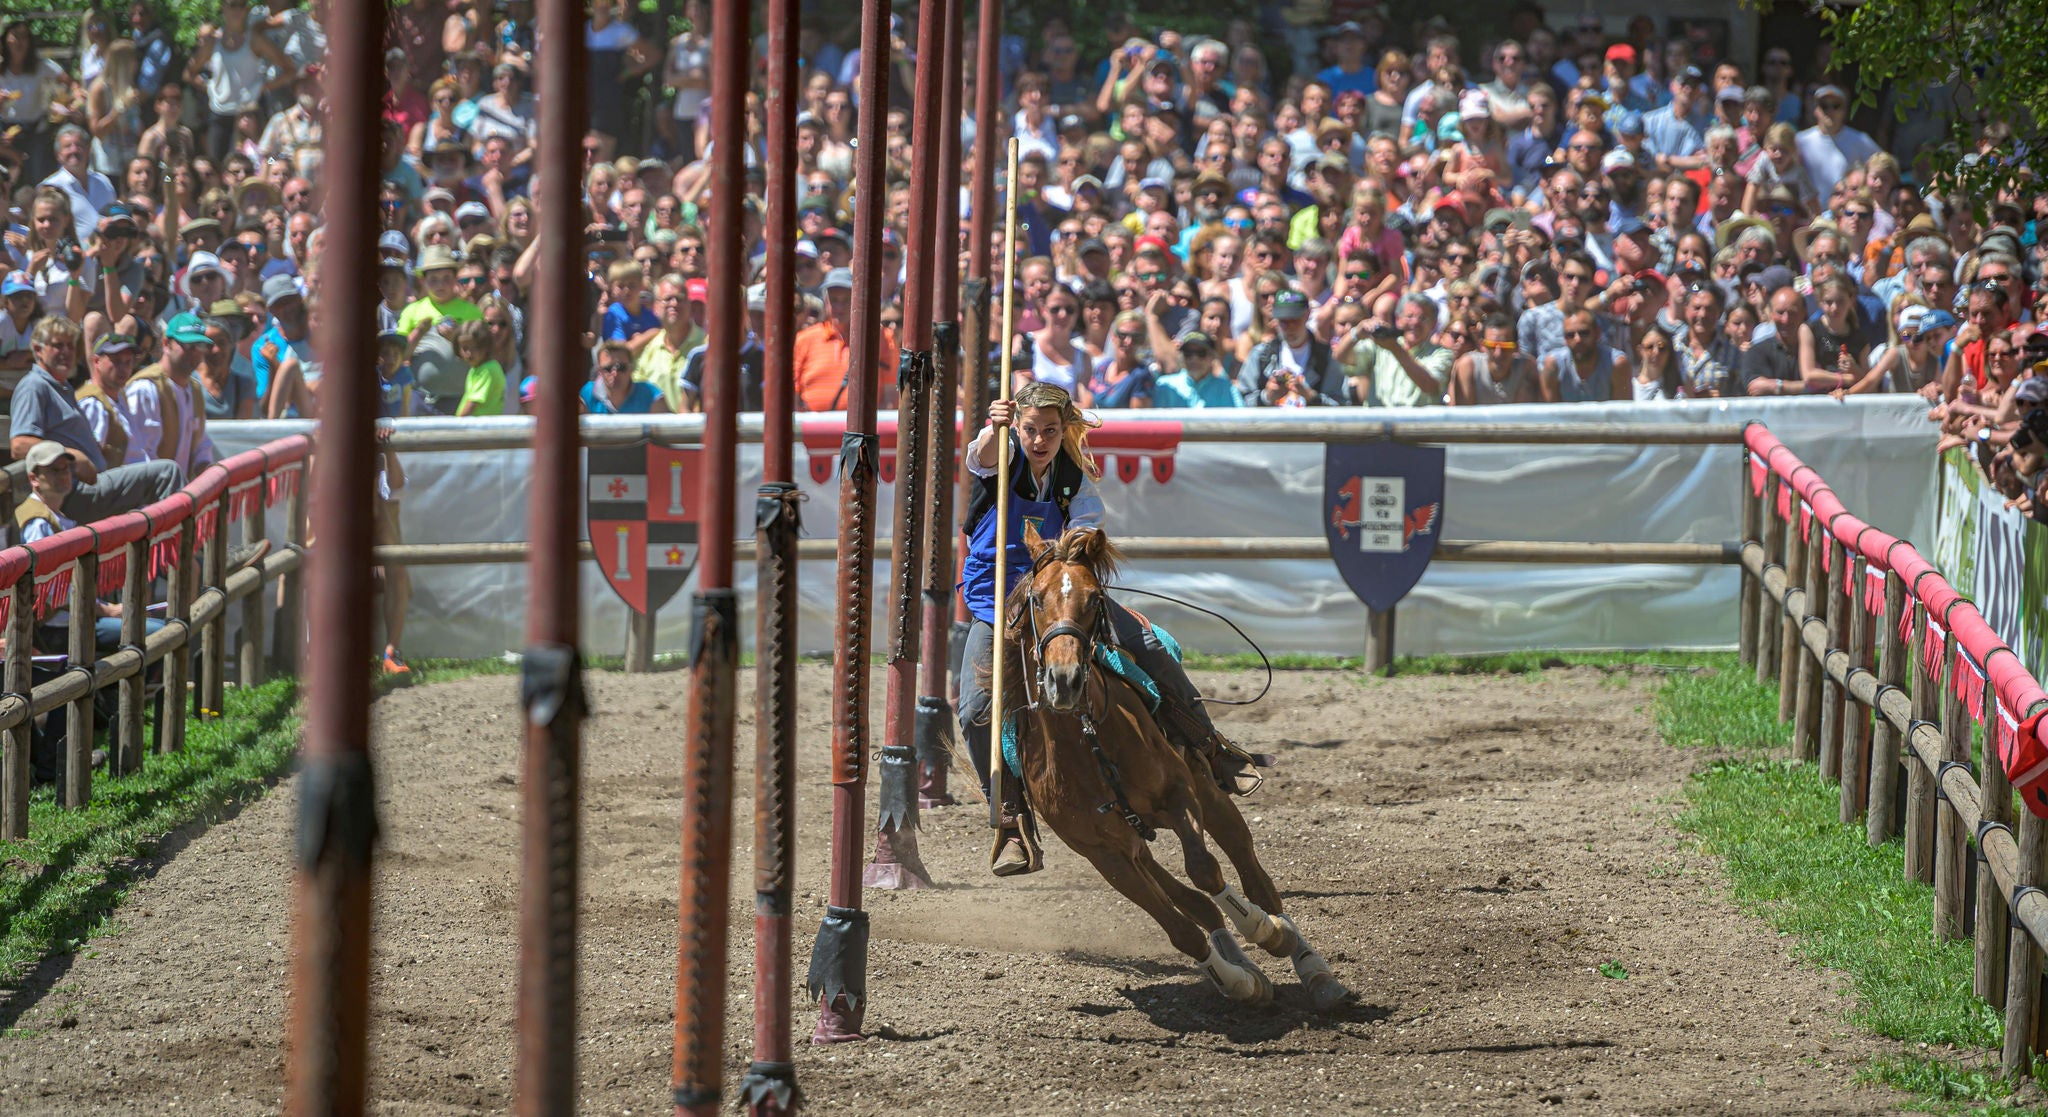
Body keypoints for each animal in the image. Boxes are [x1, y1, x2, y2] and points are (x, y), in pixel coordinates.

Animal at [999, 524, 1351, 1008]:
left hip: (1211, 794)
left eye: (1095, 598)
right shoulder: (1103, 853)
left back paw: (1311, 966)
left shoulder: (1180, 794)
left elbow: (1205, 869)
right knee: (1193, 903)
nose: (1064, 680)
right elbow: (1181, 927)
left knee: (1253, 877)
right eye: (1036, 598)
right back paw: (1247, 969)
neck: (1087, 742)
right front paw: (1238, 981)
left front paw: (1266, 932)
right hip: (1135, 847)